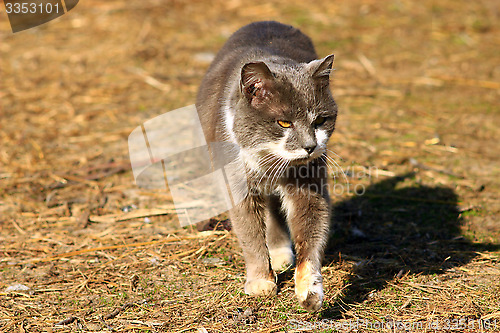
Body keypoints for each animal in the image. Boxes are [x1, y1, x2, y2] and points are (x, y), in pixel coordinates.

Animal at [195, 20, 336, 312]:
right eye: (284, 123)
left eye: (320, 120)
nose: (310, 146)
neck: (272, 159)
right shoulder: (238, 182)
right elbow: (249, 233)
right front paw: (261, 282)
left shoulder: (309, 182)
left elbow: (312, 228)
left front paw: (310, 291)